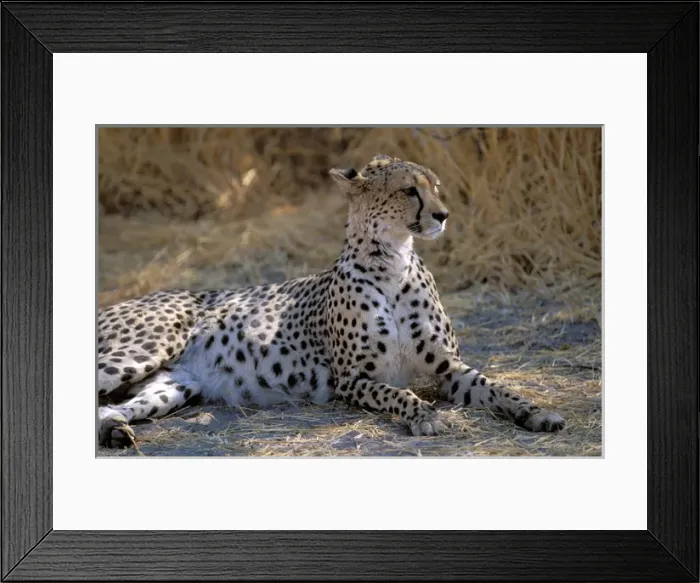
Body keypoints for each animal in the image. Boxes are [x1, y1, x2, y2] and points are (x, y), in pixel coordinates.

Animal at [97, 154, 565, 448]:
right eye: (409, 191)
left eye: (435, 188)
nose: (443, 214)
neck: (392, 262)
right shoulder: (353, 379)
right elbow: (400, 394)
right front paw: (426, 416)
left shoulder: (449, 369)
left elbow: (496, 387)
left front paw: (538, 413)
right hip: (141, 352)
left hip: (176, 385)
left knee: (110, 411)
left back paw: (116, 432)